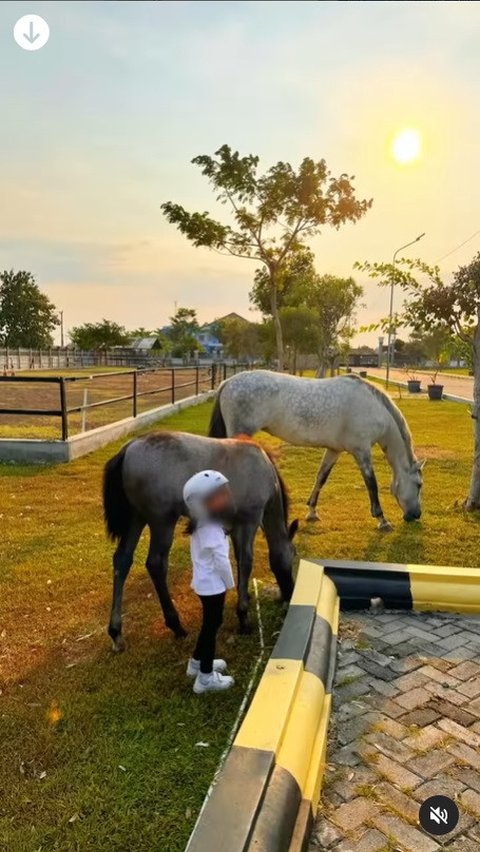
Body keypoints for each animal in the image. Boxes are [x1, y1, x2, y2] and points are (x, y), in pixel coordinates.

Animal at [103, 432, 296, 644]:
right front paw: (243, 616)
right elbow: (246, 562)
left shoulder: (233, 526)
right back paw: (176, 625)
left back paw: (116, 631)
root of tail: (129, 447)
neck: (264, 470)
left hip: (136, 518)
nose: (291, 592)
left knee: (122, 560)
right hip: (162, 521)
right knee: (156, 564)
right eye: (294, 555)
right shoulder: (248, 522)